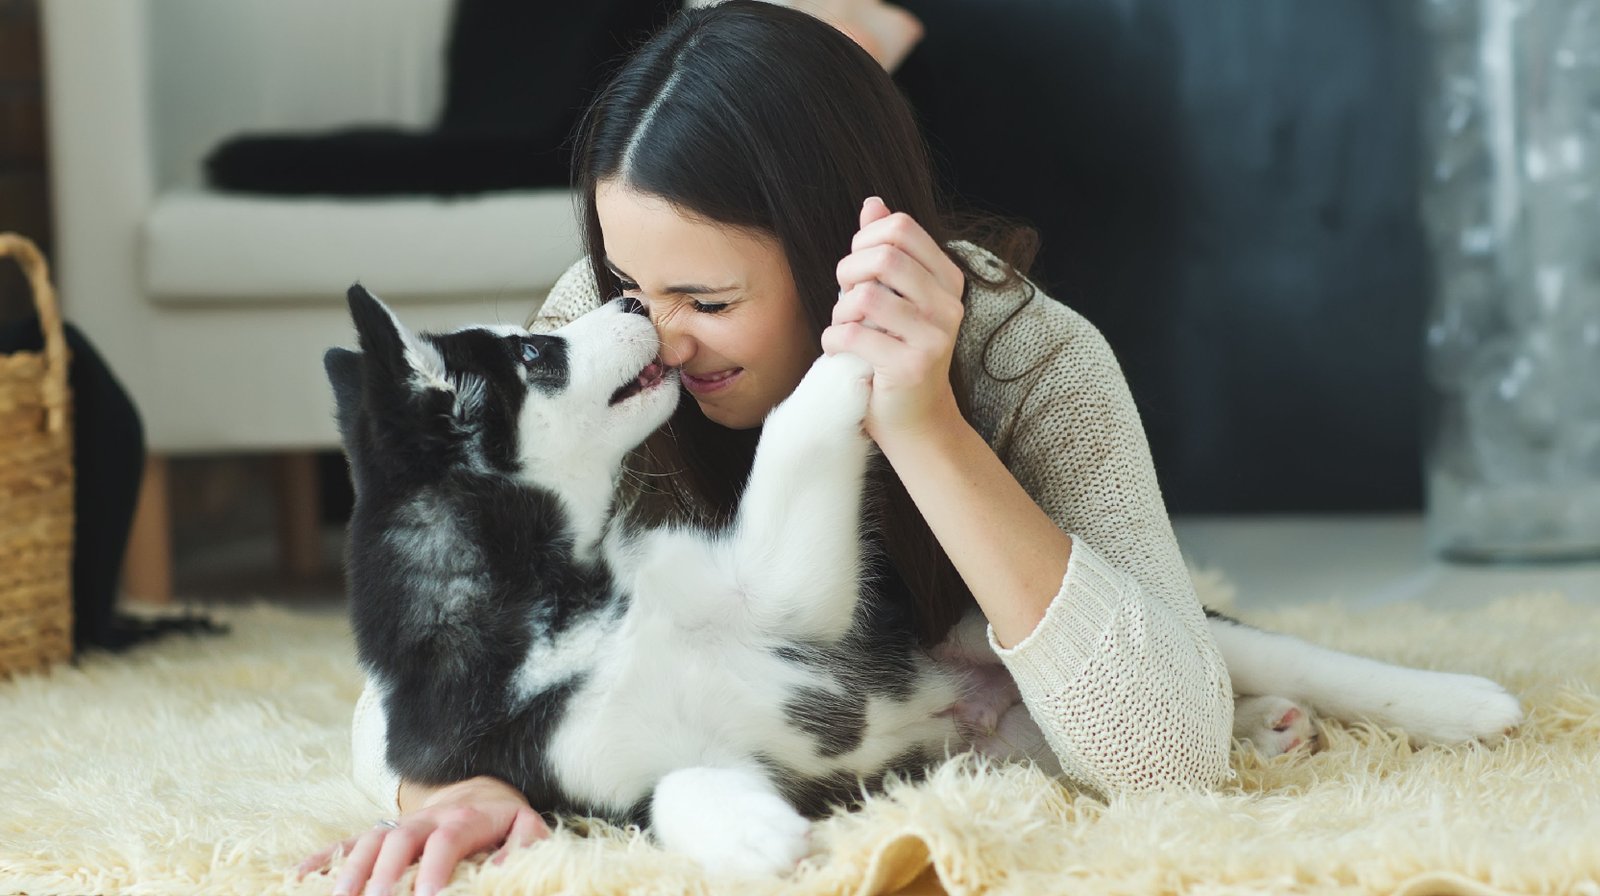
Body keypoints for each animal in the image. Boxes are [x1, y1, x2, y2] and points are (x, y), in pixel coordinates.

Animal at [318, 286, 953, 876]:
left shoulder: (767, 593)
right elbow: (670, 788)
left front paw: (868, 317)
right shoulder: (590, 785)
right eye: (531, 352)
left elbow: (790, 432)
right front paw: (754, 834)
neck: (552, 610)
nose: (632, 301)